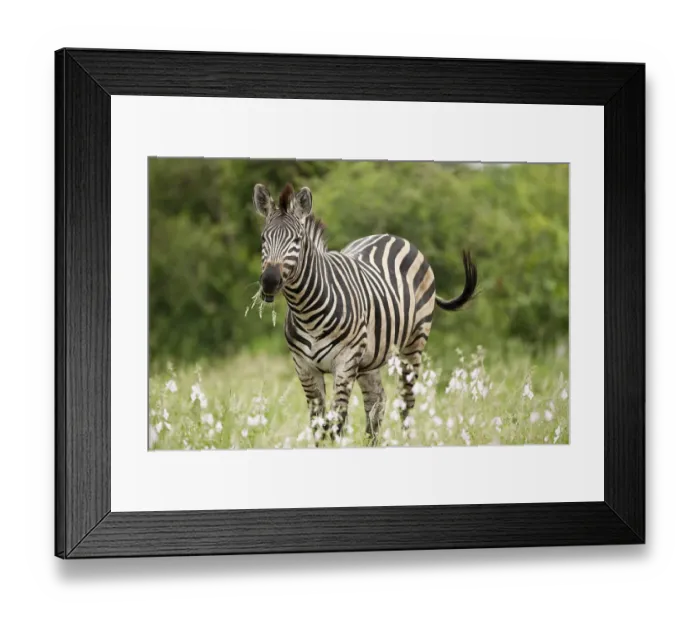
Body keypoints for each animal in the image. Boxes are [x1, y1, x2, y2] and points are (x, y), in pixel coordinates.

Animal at [253, 182, 477, 445]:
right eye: (263, 238)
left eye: (298, 239)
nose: (270, 281)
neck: (307, 312)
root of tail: (392, 236)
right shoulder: (304, 367)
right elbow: (318, 423)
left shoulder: (345, 362)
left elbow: (337, 422)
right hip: (369, 359)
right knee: (377, 401)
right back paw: (372, 444)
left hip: (414, 343)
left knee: (406, 402)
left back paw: (405, 440)